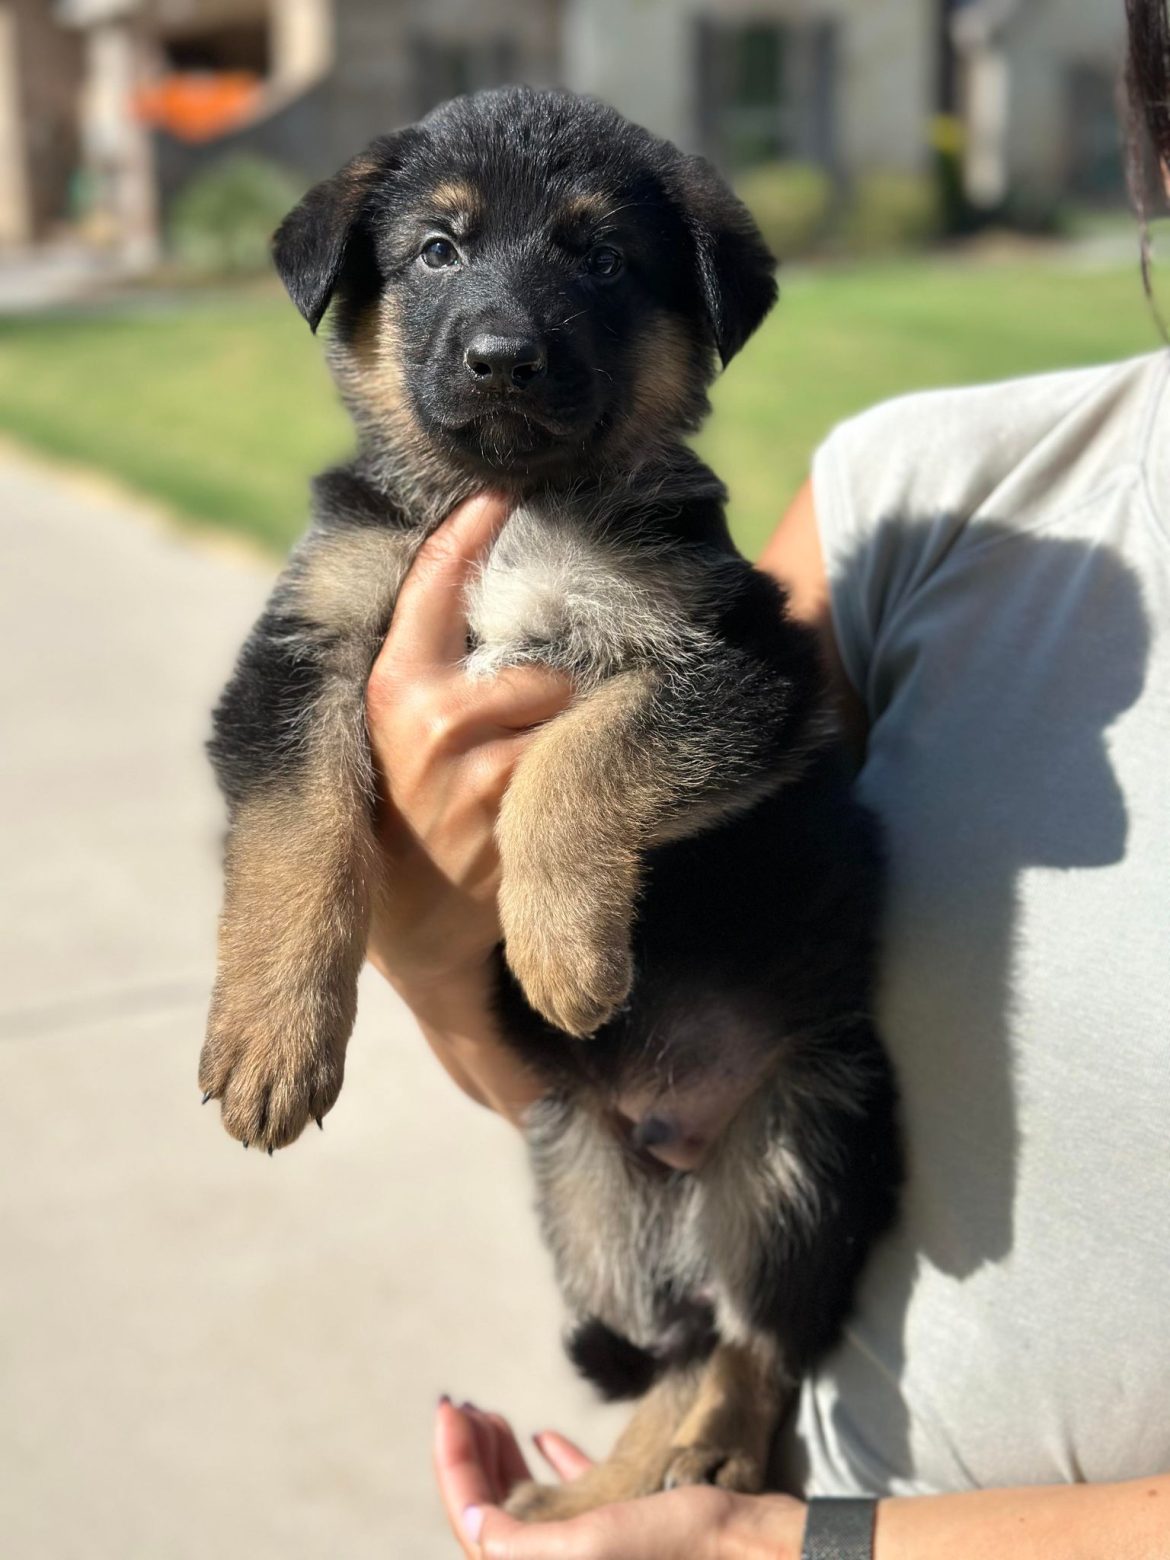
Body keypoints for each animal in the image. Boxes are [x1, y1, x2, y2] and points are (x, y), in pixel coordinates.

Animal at [199, 88, 898, 1522]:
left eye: (601, 259)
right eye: (436, 251)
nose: (503, 358)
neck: (521, 501)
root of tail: (681, 1138)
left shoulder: (736, 672)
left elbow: (575, 763)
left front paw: (564, 952)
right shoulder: (309, 642)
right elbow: (297, 832)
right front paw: (270, 1040)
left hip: (803, 1148)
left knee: (752, 1346)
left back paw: (689, 1461)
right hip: (584, 1188)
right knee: (678, 1344)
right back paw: (593, 1499)